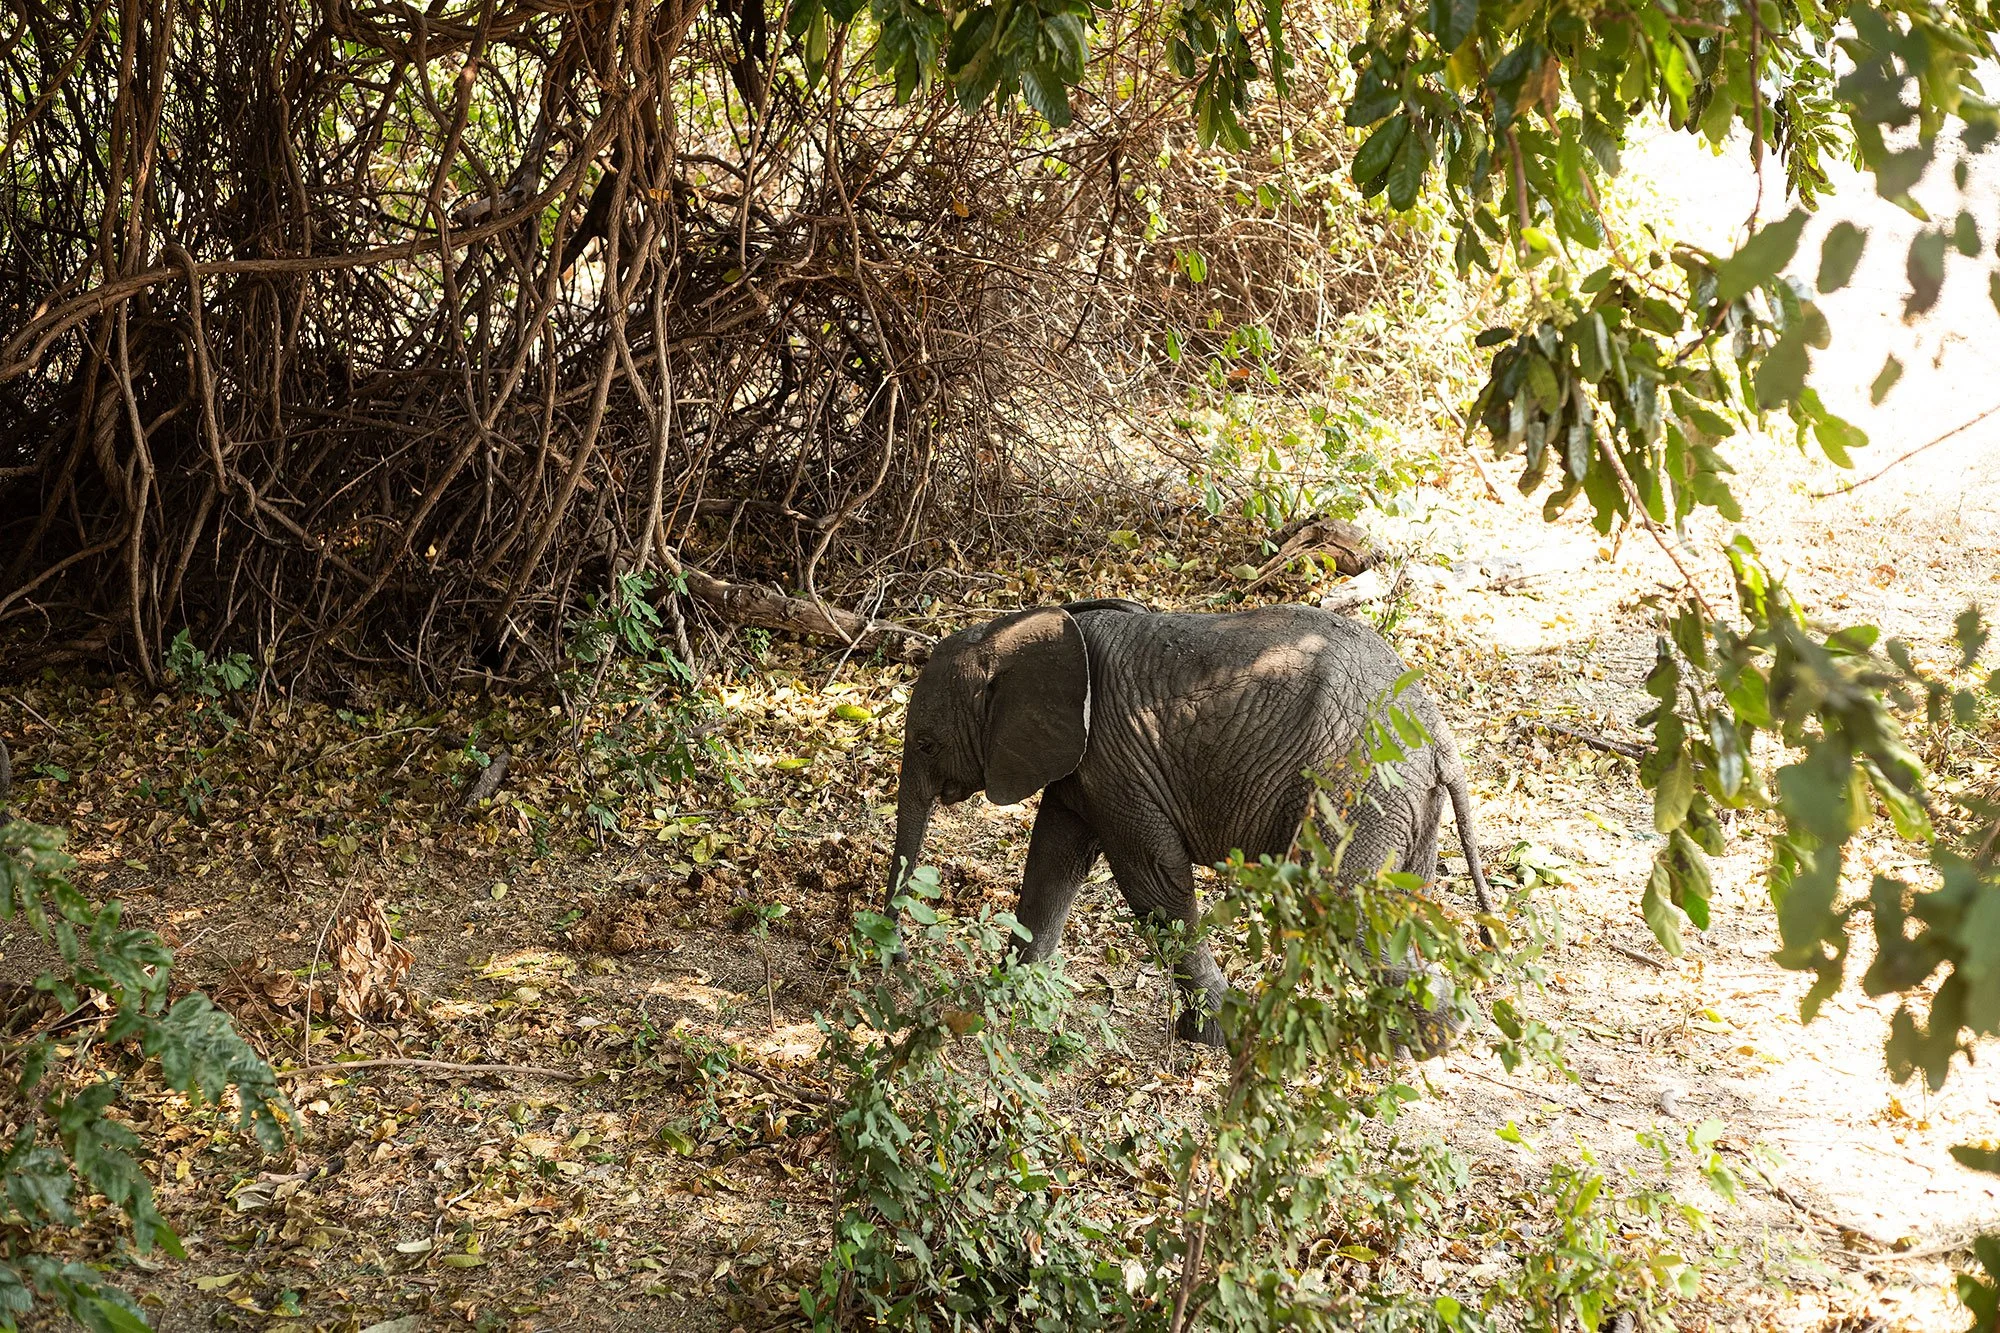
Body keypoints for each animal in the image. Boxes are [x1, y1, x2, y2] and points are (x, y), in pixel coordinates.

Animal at [884, 598, 1497, 1049]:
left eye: (926, 743)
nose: (895, 958)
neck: (1014, 632)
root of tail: (1440, 734)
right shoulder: (1084, 766)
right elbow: (1052, 868)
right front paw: (996, 1001)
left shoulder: (1115, 759)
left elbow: (1153, 883)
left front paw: (1209, 1036)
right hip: (1407, 806)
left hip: (1354, 794)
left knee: (1348, 905)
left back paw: (1420, 1043)